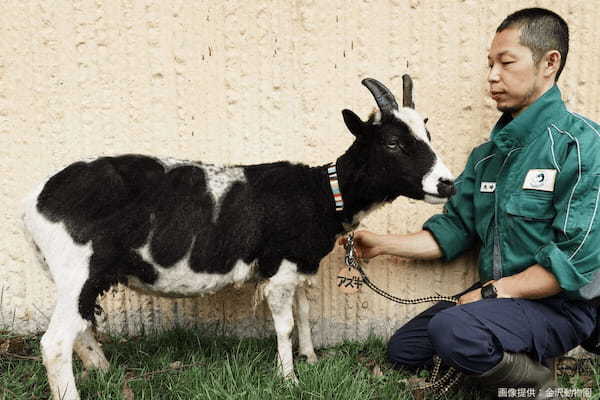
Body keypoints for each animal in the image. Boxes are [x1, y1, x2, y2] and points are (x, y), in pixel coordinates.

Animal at [23, 76, 454, 398]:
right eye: (393, 143)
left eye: (428, 133)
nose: (447, 184)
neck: (322, 193)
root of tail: (33, 202)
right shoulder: (278, 269)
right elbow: (285, 325)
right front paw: (289, 379)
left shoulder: (298, 267)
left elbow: (304, 313)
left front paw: (311, 360)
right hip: (77, 267)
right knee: (55, 343)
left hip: (71, 276)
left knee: (79, 331)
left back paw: (104, 370)